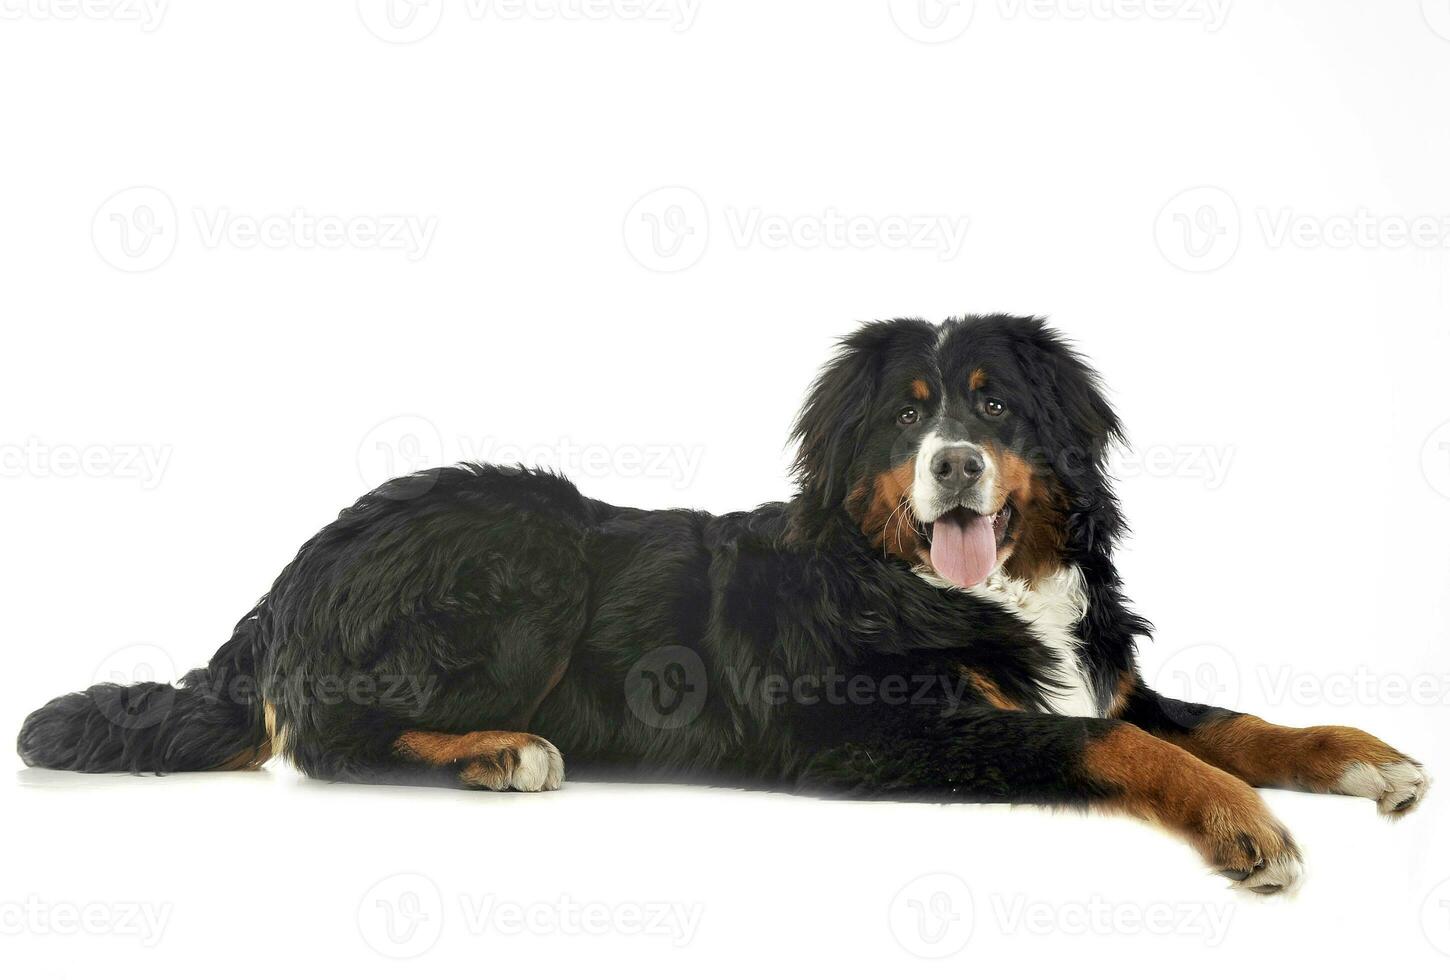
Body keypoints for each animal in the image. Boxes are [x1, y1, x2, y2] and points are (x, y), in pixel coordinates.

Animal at [19, 316, 1426, 893]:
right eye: (908, 415)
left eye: (994, 404)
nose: (955, 464)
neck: (931, 582)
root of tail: (303, 558)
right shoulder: (898, 726)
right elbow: (1119, 744)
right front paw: (1245, 824)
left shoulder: (1100, 670)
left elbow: (1230, 720)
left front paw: (1364, 756)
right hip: (529, 550)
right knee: (327, 739)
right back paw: (502, 751)